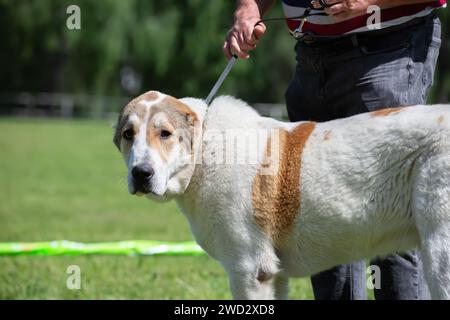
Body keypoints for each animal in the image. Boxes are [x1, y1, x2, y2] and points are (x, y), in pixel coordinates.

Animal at [113, 90, 450, 300]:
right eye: (129, 135)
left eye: (165, 134)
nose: (141, 173)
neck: (204, 152)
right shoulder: (275, 275)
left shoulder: (250, 270)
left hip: (439, 253)